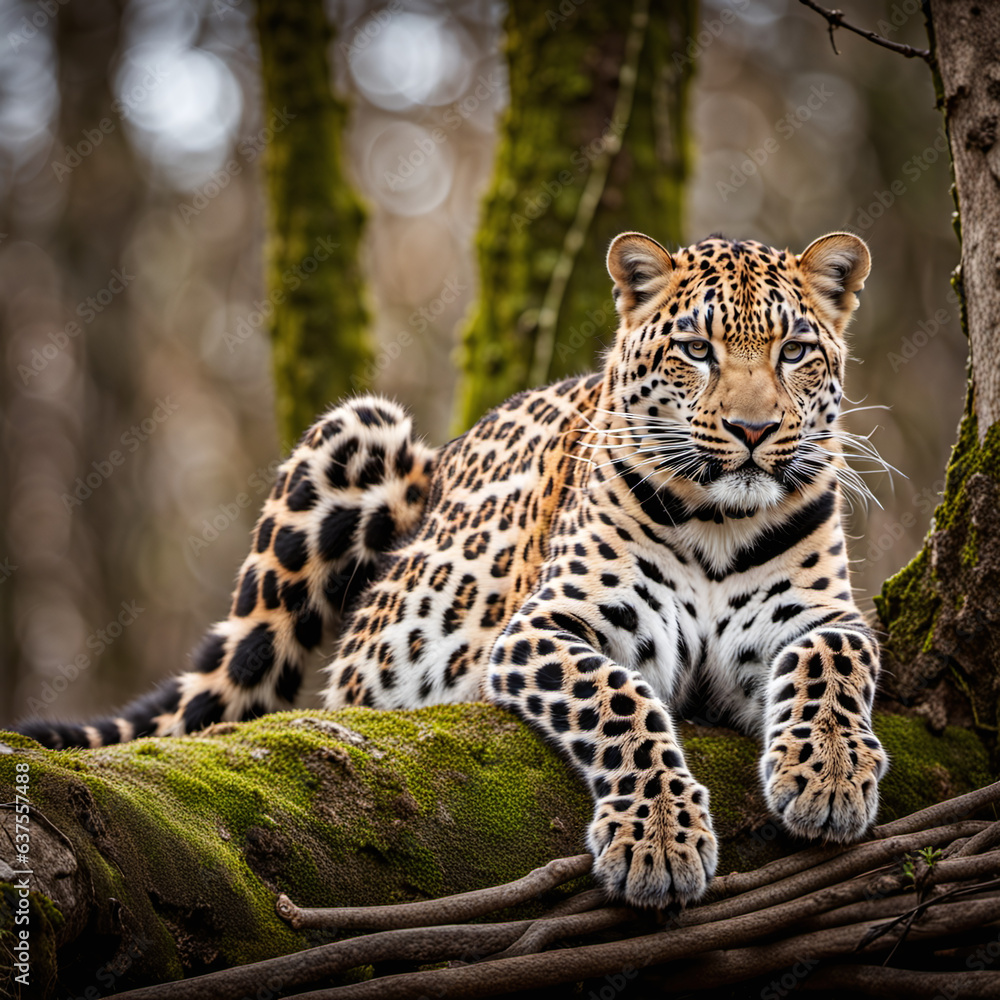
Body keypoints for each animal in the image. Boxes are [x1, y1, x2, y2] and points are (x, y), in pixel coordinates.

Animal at [15, 229, 889, 910]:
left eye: (796, 352)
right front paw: (660, 842)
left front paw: (829, 777)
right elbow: (622, 703)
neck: (719, 523)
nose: (752, 430)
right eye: (697, 351)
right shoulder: (547, 627)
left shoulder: (816, 618)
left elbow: (836, 655)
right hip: (359, 435)